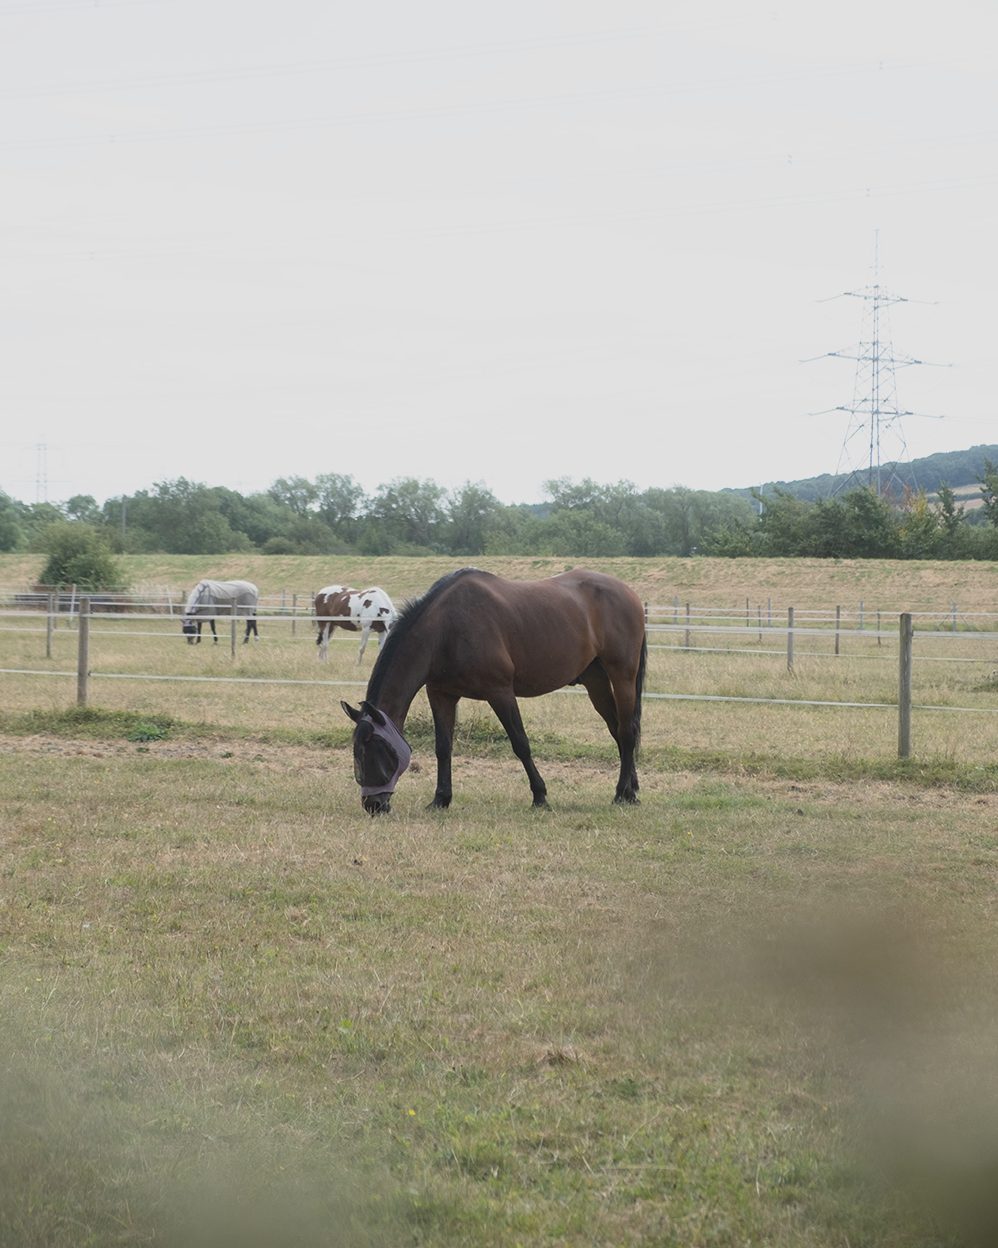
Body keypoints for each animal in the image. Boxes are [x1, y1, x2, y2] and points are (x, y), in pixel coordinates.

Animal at [342, 567, 647, 815]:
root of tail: (629, 593)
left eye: (375, 748)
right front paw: (441, 799)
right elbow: (443, 747)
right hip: (596, 681)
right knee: (617, 730)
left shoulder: (500, 693)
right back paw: (631, 789)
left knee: (626, 732)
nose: (373, 805)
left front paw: (540, 796)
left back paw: (622, 793)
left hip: (622, 676)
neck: (446, 630)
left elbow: (520, 743)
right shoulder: (441, 695)